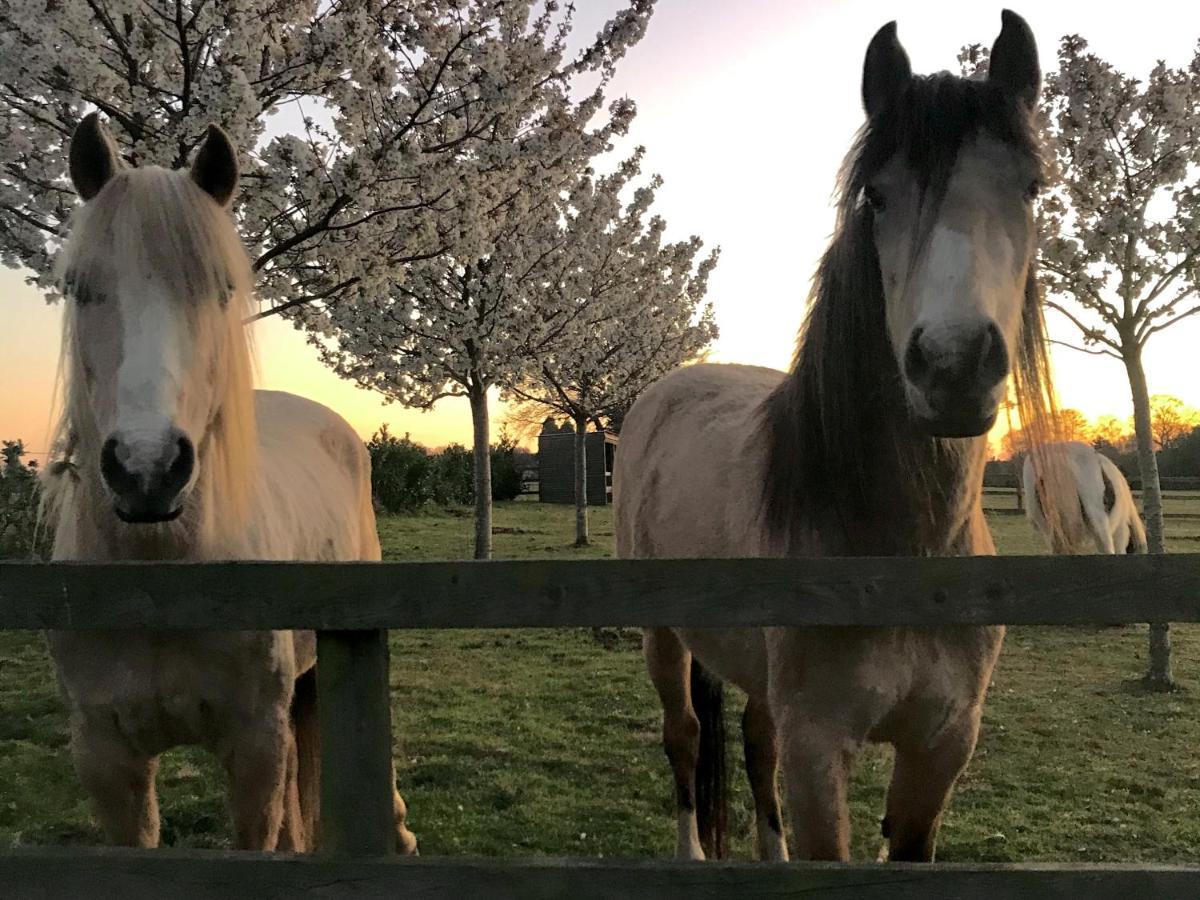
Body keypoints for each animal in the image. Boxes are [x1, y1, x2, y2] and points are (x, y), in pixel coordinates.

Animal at [43, 112, 417, 854]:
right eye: (79, 287)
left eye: (219, 288)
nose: (147, 468)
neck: (161, 580)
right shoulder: (105, 759)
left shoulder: (256, 747)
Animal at [619, 8, 1060, 868]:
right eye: (877, 195)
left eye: (1030, 188)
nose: (953, 363)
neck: (902, 555)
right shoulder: (819, 750)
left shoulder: (940, 751)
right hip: (664, 638)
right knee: (683, 737)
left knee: (754, 739)